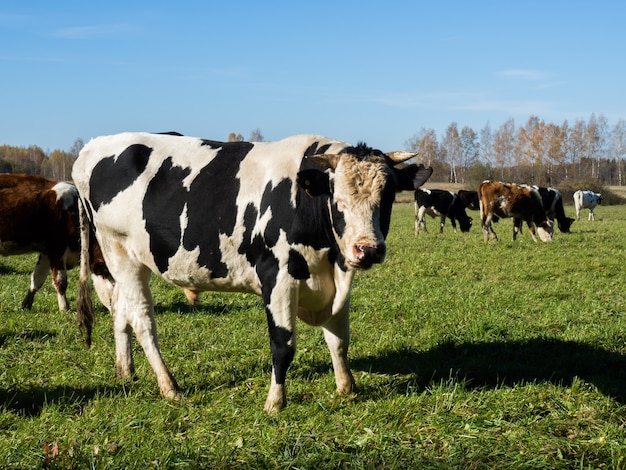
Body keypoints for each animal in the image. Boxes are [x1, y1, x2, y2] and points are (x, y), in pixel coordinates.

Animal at [0, 173, 113, 312]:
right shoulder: (57, 249)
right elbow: (60, 280)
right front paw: (64, 307)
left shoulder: (46, 253)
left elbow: (37, 279)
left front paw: (26, 304)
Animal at [70, 132, 432, 412]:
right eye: (337, 199)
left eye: (387, 197)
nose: (367, 250)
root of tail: (94, 146)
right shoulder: (278, 277)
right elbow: (283, 345)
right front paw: (275, 403)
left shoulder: (338, 280)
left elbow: (339, 340)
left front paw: (347, 388)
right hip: (119, 251)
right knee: (143, 320)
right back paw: (169, 386)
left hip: (126, 261)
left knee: (121, 310)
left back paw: (125, 371)